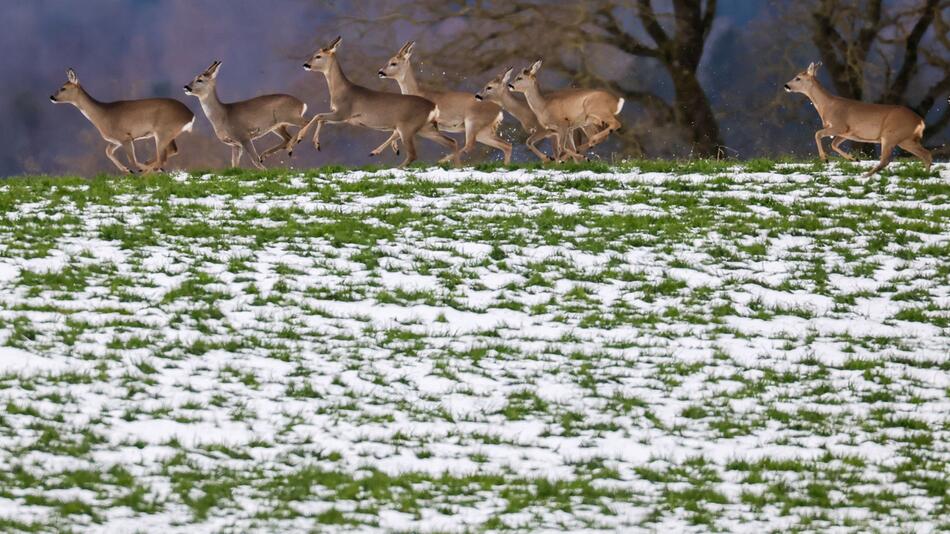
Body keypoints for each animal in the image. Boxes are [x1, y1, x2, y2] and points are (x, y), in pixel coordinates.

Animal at [51, 67, 196, 174]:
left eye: (63, 88)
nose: (51, 97)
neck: (102, 115)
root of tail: (190, 115)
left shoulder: (125, 137)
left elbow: (131, 160)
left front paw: (136, 169)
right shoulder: (116, 140)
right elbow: (108, 151)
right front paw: (127, 170)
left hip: (163, 131)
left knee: (163, 157)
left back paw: (149, 170)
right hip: (168, 134)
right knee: (172, 151)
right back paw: (150, 166)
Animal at [296, 36, 462, 168]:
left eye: (318, 56)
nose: (305, 64)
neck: (341, 90)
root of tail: (433, 106)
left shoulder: (343, 112)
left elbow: (318, 116)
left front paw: (300, 138)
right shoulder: (344, 117)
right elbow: (321, 119)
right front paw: (316, 144)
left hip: (407, 127)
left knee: (413, 154)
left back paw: (395, 168)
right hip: (424, 128)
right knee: (451, 142)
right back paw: (457, 167)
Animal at [380, 41, 512, 164]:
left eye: (393, 63)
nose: (380, 72)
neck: (418, 93)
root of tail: (499, 111)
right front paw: (395, 148)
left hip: (473, 121)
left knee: (469, 145)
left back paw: (441, 161)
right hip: (484, 132)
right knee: (506, 145)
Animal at [784, 62, 932, 176]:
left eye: (798, 78)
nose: (786, 85)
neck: (827, 106)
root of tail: (921, 122)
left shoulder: (840, 125)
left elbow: (817, 134)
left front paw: (825, 159)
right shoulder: (846, 132)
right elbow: (834, 144)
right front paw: (854, 159)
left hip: (891, 135)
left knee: (886, 160)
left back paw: (865, 176)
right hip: (905, 139)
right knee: (927, 154)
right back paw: (925, 175)